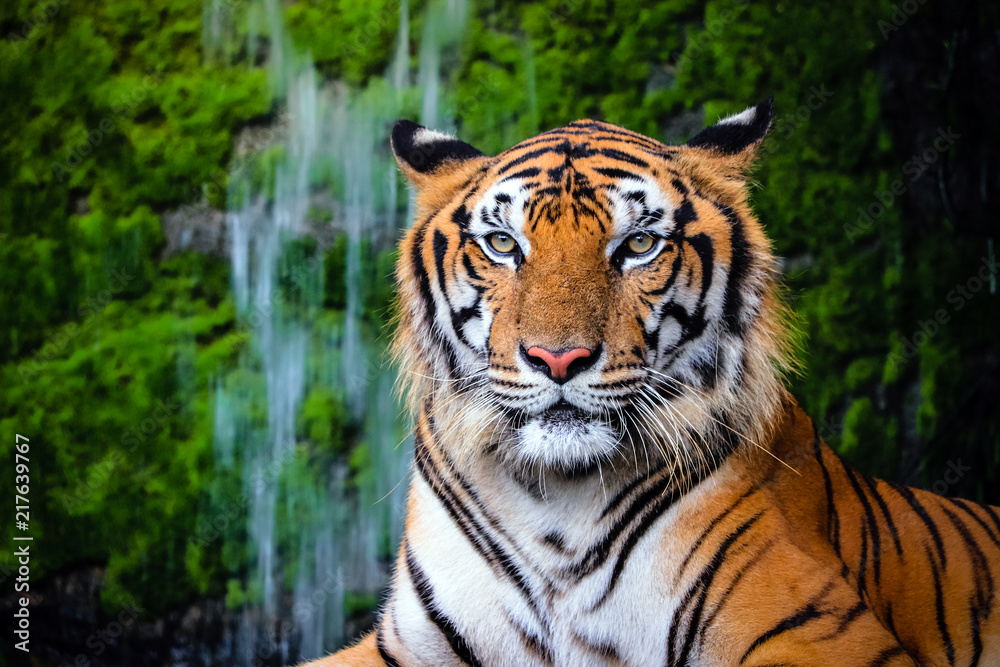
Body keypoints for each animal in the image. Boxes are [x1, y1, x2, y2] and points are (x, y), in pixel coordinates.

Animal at [308, 100, 1000, 667]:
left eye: (638, 244)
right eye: (503, 244)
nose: (558, 359)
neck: (557, 503)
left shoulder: (816, 629)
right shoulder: (405, 644)